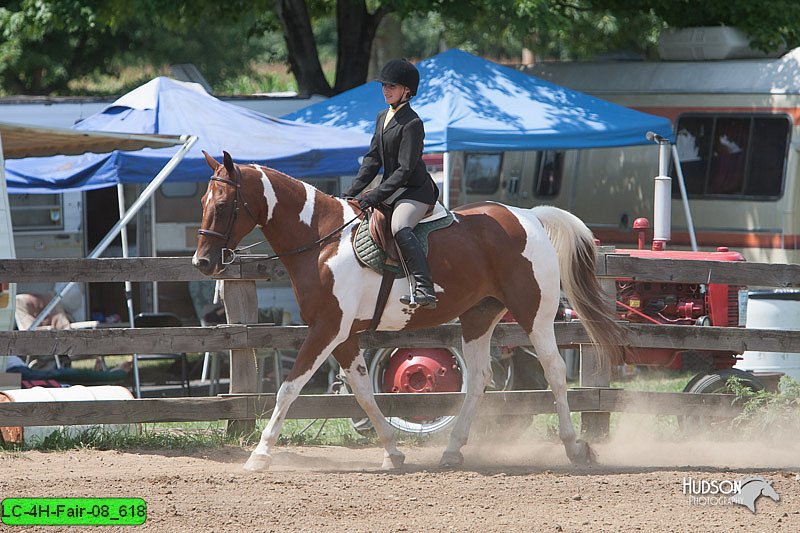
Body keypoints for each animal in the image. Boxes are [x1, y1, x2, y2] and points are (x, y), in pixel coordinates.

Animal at [194, 150, 624, 470]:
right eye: (203, 203)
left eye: (224, 204)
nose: (203, 263)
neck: (321, 240)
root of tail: (529, 216)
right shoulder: (343, 335)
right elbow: (363, 391)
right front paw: (393, 452)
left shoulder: (327, 328)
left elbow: (289, 387)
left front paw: (260, 454)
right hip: (479, 316)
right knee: (480, 377)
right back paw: (452, 450)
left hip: (534, 314)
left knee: (554, 372)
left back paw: (575, 448)